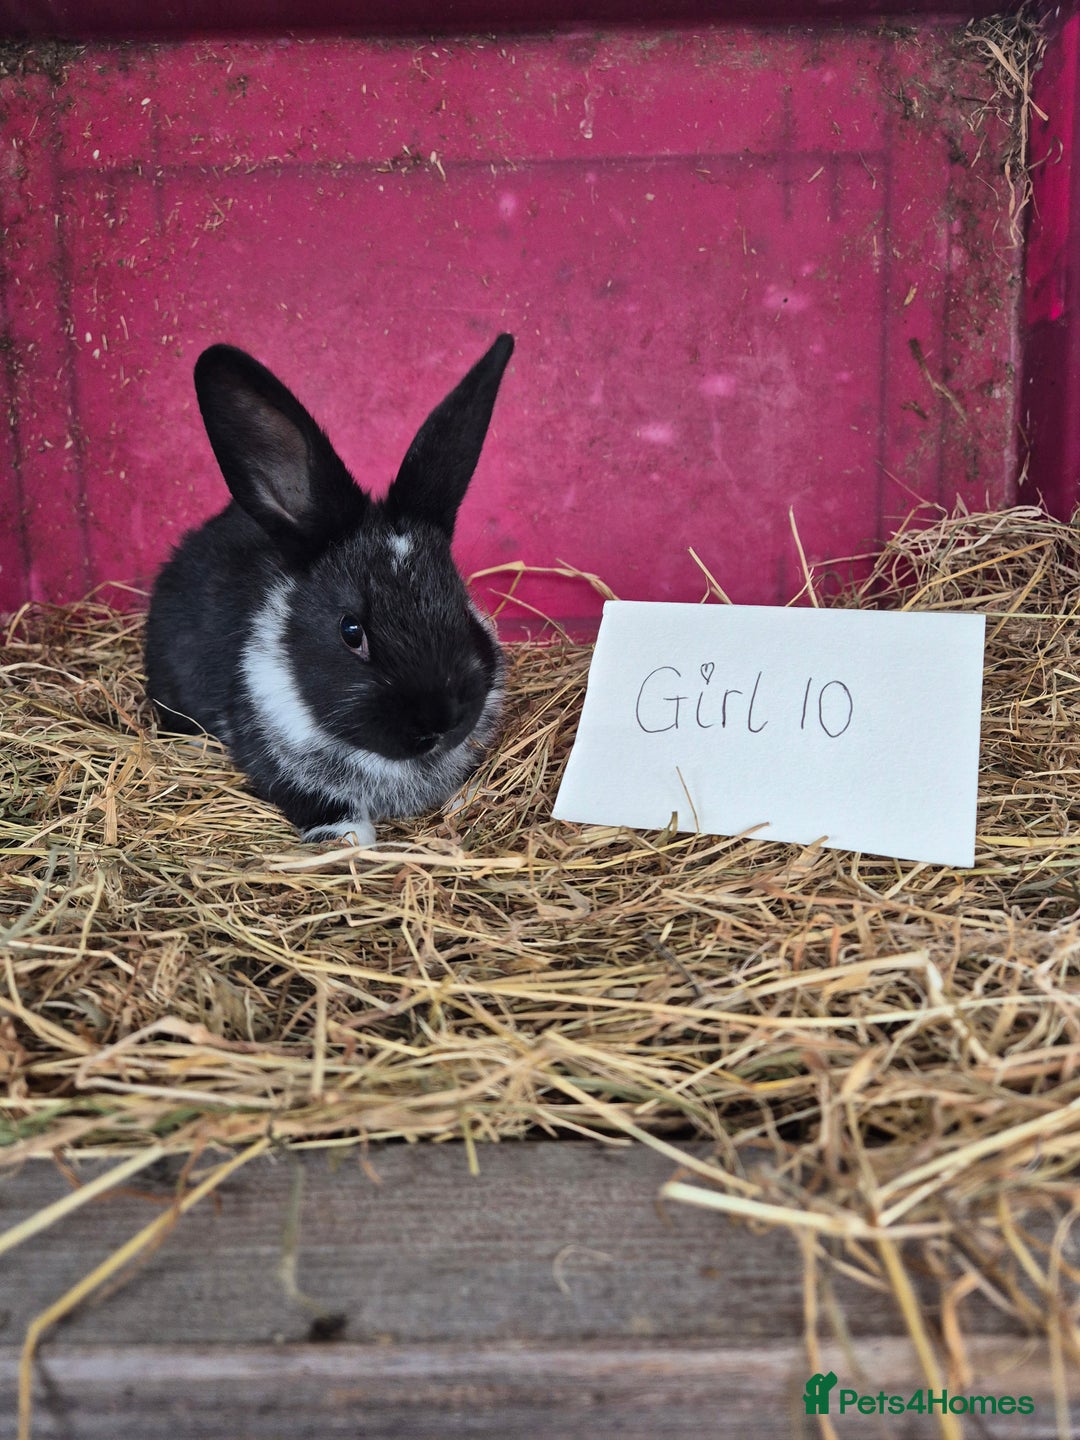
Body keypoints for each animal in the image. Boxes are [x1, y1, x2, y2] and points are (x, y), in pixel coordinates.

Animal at [144, 333, 514, 845]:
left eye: (460, 603)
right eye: (350, 631)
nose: (439, 723)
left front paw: (469, 802)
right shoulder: (286, 768)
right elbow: (329, 811)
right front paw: (351, 844)